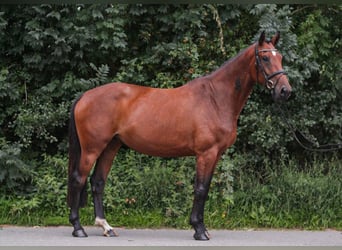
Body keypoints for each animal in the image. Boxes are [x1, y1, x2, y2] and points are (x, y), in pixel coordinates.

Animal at [67, 31, 292, 240]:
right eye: (265, 58)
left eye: (280, 57)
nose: (285, 91)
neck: (215, 99)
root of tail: (85, 96)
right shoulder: (206, 153)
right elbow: (200, 189)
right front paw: (199, 230)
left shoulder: (216, 155)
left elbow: (205, 189)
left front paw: (202, 227)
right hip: (92, 149)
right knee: (79, 179)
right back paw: (78, 228)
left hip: (111, 146)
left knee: (97, 182)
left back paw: (106, 227)